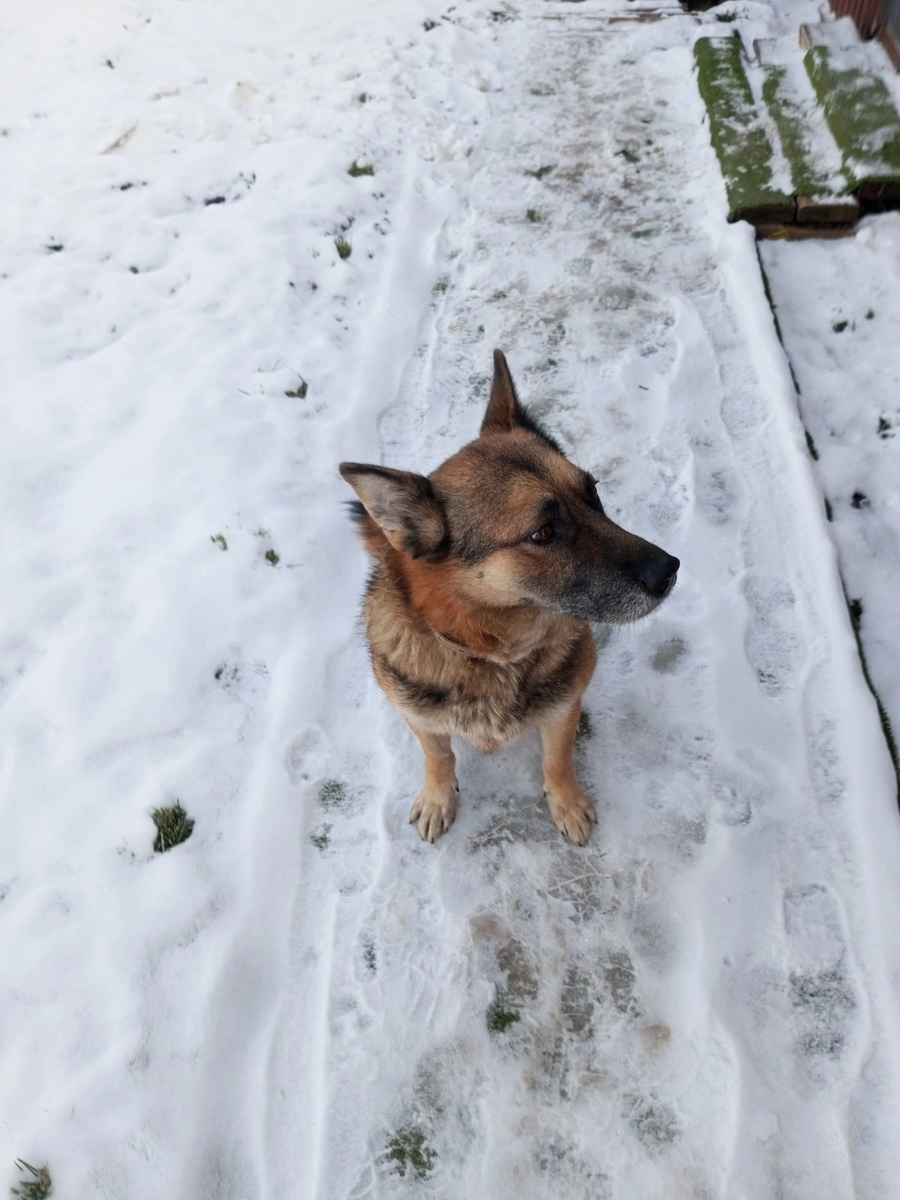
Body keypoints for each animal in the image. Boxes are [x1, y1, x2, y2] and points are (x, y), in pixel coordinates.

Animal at [340, 350, 681, 849]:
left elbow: (557, 759)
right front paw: (438, 796)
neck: (487, 654)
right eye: (543, 533)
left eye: (592, 492)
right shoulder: (421, 719)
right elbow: (438, 756)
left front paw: (566, 802)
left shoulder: (561, 710)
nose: (669, 571)